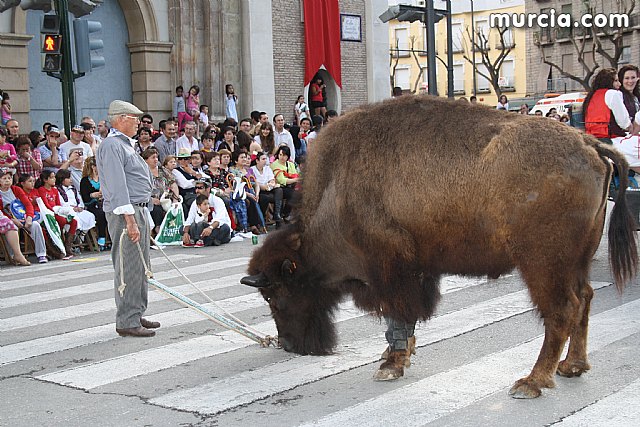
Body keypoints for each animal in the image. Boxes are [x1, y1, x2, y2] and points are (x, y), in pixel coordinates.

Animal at [239, 93, 636, 398]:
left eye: (274, 293)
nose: (289, 345)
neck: (337, 193)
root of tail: (589, 144)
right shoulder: (414, 270)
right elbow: (403, 322)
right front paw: (395, 357)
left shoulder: (391, 270)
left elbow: (399, 318)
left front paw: (390, 364)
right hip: (576, 261)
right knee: (585, 299)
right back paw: (573, 366)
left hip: (543, 264)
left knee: (561, 311)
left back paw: (532, 382)